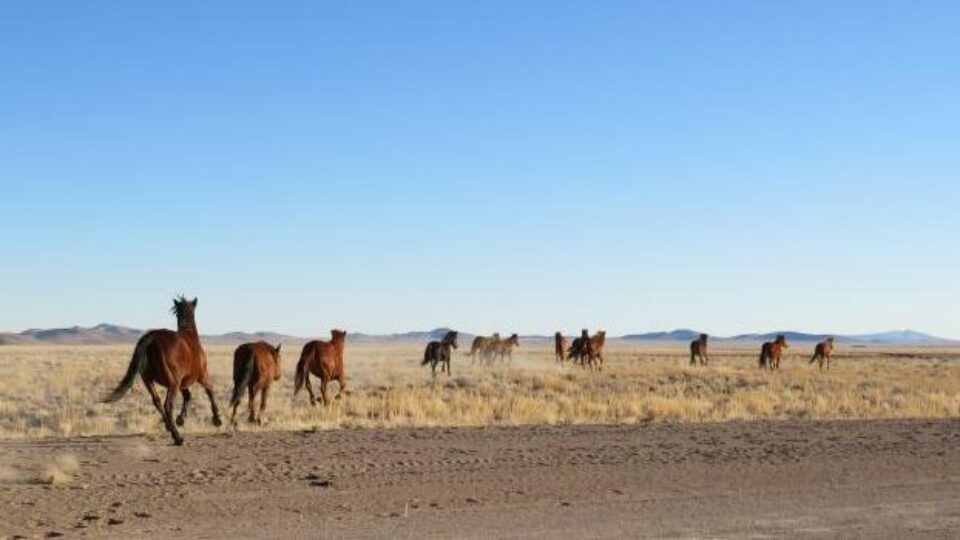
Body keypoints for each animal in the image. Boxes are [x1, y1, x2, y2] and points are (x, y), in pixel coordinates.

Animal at [103, 296, 222, 446]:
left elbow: (188, 396)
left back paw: (169, 426)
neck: (190, 335)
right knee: (167, 404)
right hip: (173, 383)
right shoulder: (201, 375)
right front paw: (217, 419)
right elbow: (209, 390)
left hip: (148, 379)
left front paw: (180, 419)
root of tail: (152, 338)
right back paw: (177, 437)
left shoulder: (183, 382)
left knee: (157, 401)